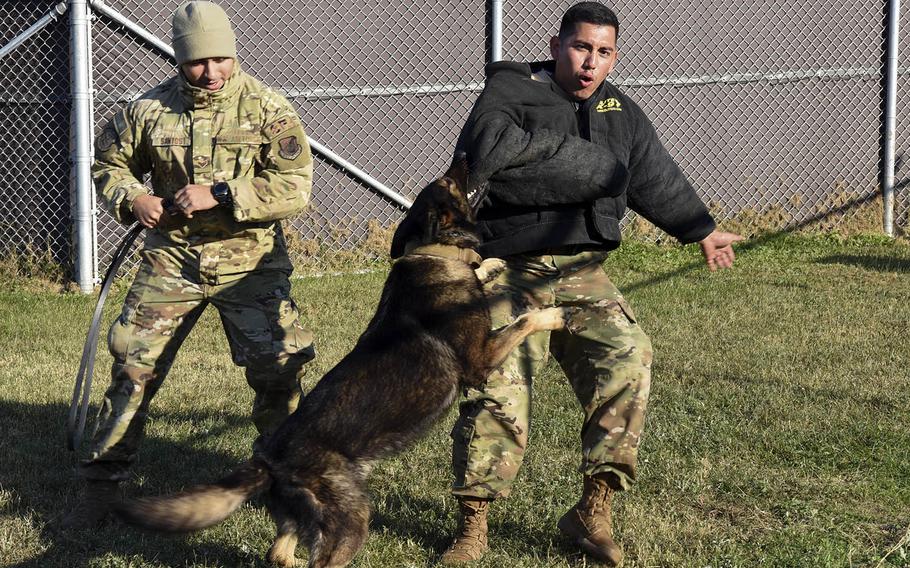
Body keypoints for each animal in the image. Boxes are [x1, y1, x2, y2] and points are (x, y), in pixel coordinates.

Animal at [114, 158, 568, 568]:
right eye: (451, 181)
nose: (466, 157)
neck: (433, 253)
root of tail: (270, 460)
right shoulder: (480, 360)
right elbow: (523, 320)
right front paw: (553, 314)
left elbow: (485, 272)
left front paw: (492, 264)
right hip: (352, 519)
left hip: (307, 520)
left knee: (279, 554)